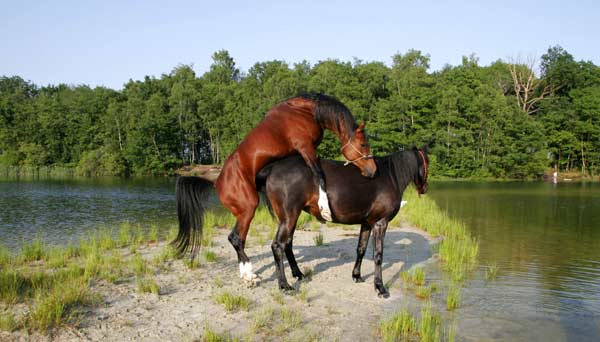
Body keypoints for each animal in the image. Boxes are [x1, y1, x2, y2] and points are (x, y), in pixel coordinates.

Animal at [173, 93, 378, 280]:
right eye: (363, 144)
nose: (373, 170)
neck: (304, 112)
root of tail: (216, 183)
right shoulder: (306, 148)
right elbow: (319, 174)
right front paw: (324, 208)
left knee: (240, 240)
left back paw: (247, 274)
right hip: (248, 208)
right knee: (236, 238)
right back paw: (250, 274)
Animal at [255, 146, 428, 298]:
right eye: (427, 160)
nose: (425, 188)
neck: (390, 176)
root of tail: (272, 168)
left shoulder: (367, 223)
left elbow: (361, 249)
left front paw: (356, 275)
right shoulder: (380, 223)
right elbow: (378, 255)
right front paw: (380, 287)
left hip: (290, 218)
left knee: (287, 244)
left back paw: (298, 274)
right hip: (289, 217)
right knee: (278, 246)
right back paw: (284, 285)